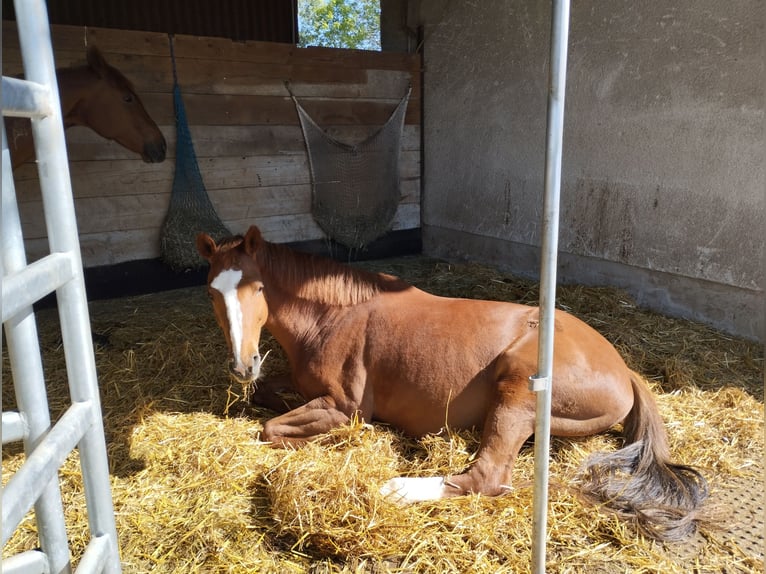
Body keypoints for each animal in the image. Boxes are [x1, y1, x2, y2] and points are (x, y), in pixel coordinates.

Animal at [196, 225, 709, 541]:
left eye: (258, 287)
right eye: (211, 291)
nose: (242, 365)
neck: (333, 317)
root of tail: (625, 370)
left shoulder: (343, 407)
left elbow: (271, 430)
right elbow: (266, 395)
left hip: (518, 389)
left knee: (486, 478)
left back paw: (396, 489)